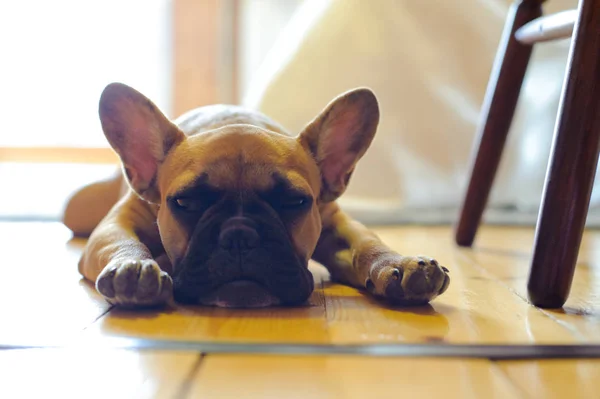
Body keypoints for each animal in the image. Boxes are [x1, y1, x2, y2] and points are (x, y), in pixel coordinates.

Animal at [64, 83, 450, 310]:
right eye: (185, 203)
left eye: (294, 202)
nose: (239, 235)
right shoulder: (115, 224)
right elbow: (120, 242)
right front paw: (133, 267)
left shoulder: (335, 220)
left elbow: (367, 242)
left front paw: (398, 263)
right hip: (77, 208)